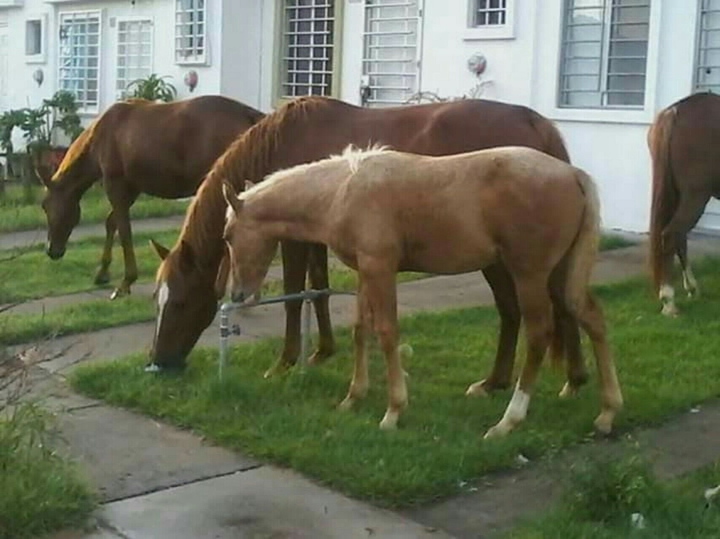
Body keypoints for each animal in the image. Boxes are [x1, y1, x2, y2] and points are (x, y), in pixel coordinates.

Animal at [38, 95, 265, 299]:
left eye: (45, 205)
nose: (52, 250)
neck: (100, 136)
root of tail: (250, 115)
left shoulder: (115, 184)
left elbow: (123, 229)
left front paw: (126, 282)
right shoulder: (132, 188)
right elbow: (112, 223)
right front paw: (102, 273)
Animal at [149, 96, 591, 401]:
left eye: (181, 302)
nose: (157, 363)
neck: (283, 144)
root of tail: (535, 123)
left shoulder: (294, 239)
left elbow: (294, 295)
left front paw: (285, 361)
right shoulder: (320, 237)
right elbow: (318, 291)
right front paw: (322, 352)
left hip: (506, 259)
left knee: (515, 310)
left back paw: (504, 381)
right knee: (559, 304)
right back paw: (570, 379)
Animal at [221, 145, 623, 437]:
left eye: (227, 235)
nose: (237, 294)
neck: (343, 192)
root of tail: (572, 173)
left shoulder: (381, 268)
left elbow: (386, 332)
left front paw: (393, 411)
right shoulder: (366, 271)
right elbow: (361, 329)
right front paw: (353, 398)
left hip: (530, 274)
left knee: (540, 332)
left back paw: (508, 421)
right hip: (560, 272)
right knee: (591, 317)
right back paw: (607, 411)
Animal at [648, 91, 720, 317]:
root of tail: (675, 111)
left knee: (679, 238)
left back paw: (692, 288)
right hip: (695, 196)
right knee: (672, 235)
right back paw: (669, 301)